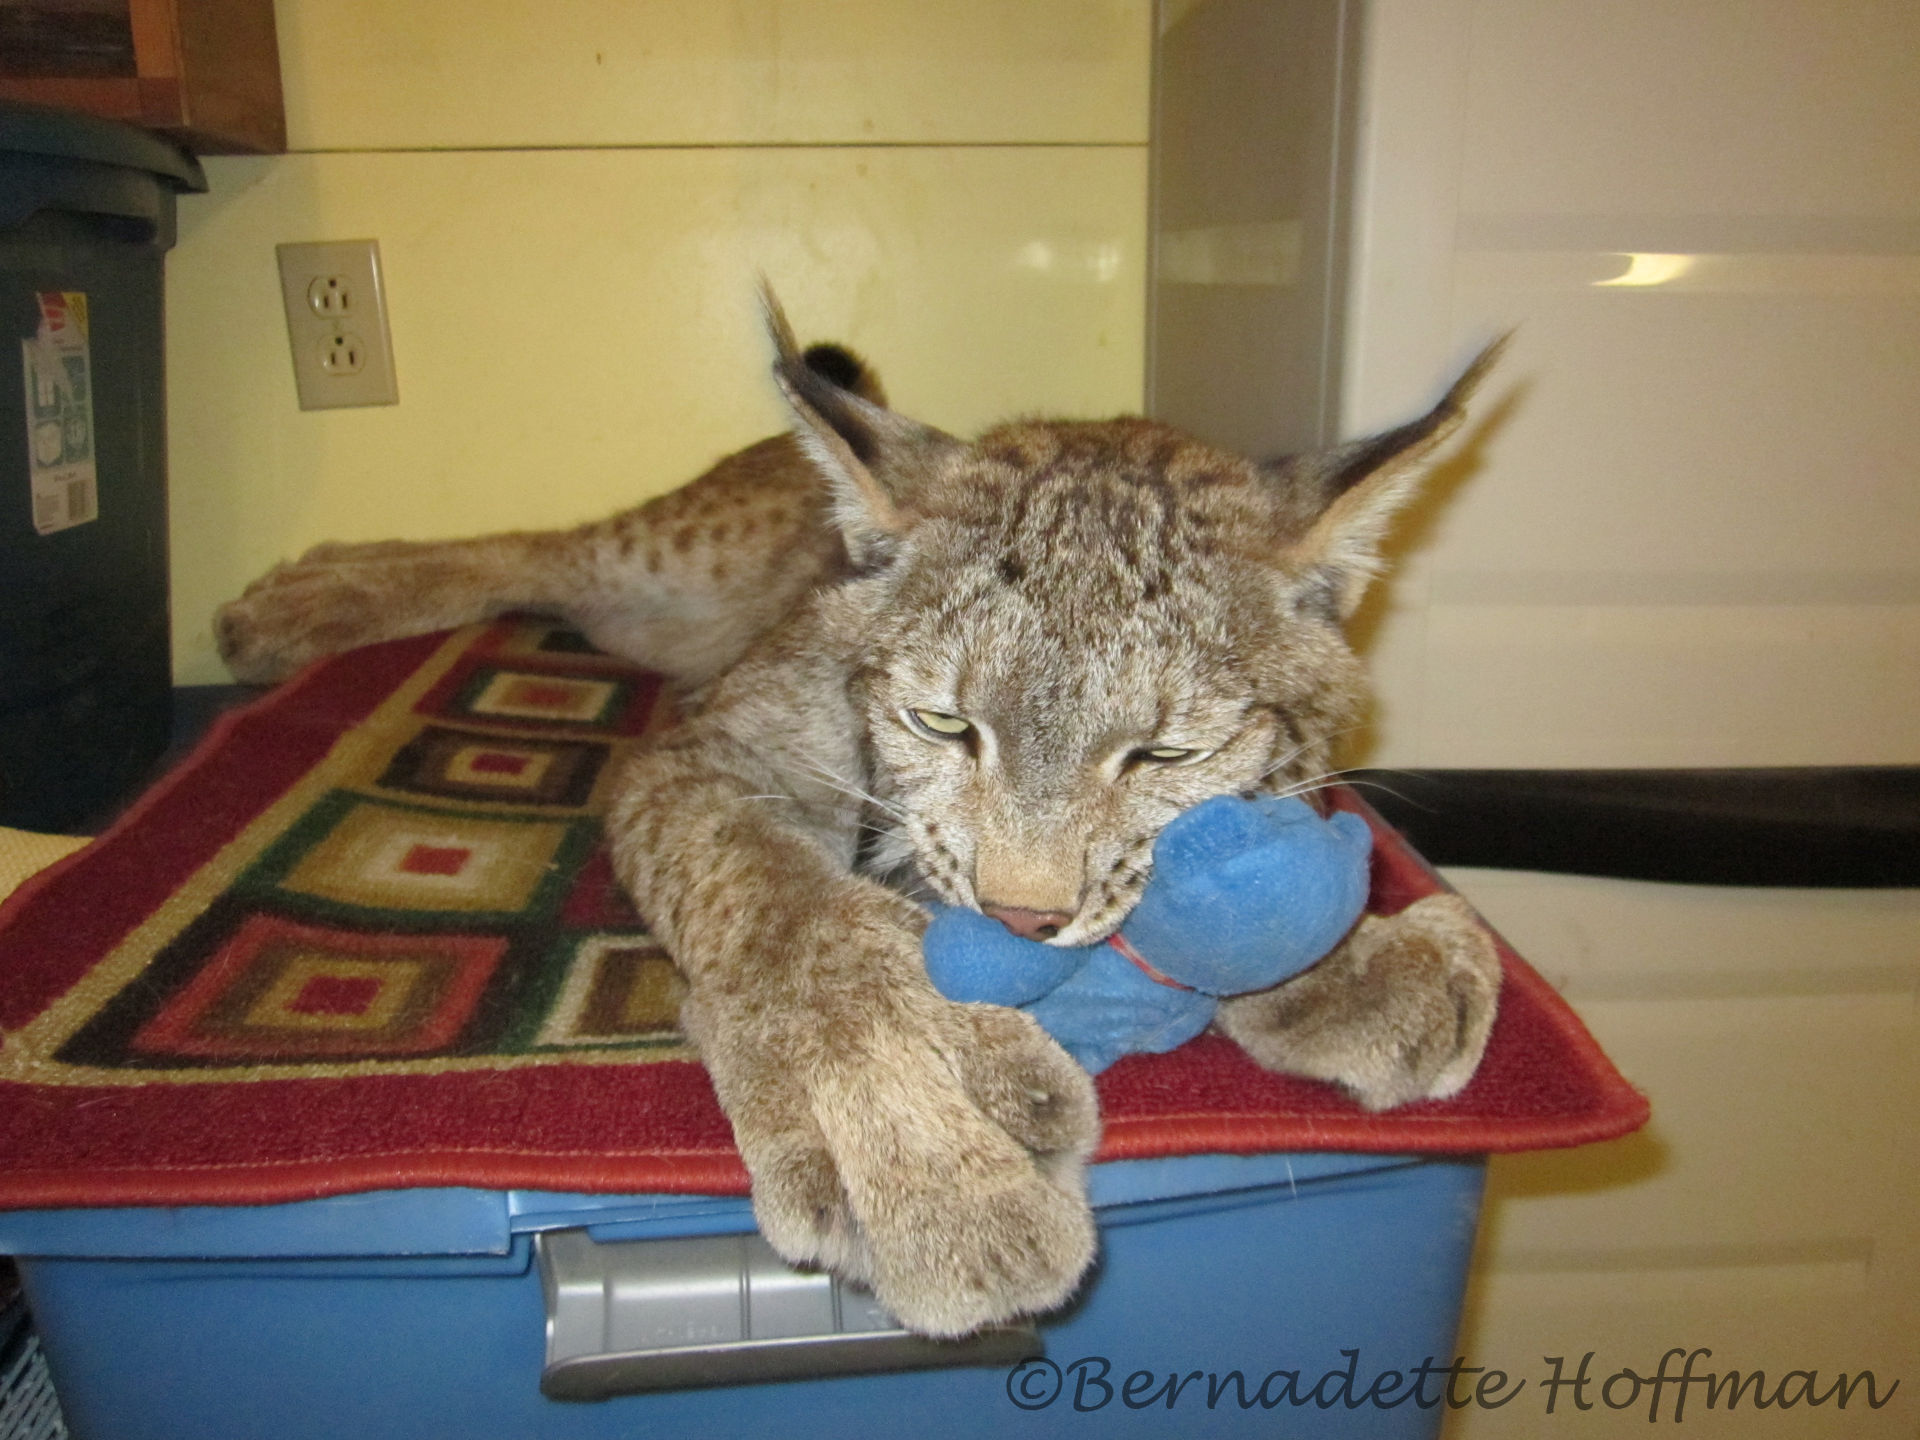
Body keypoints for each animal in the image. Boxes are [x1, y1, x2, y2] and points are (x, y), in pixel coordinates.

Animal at [215, 291, 1504, 1338]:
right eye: (943, 724)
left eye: (1165, 753)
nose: (1021, 921)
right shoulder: (698, 755)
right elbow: (780, 892)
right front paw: (916, 1130)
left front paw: (1348, 970)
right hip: (667, 572)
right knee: (537, 546)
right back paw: (305, 598)